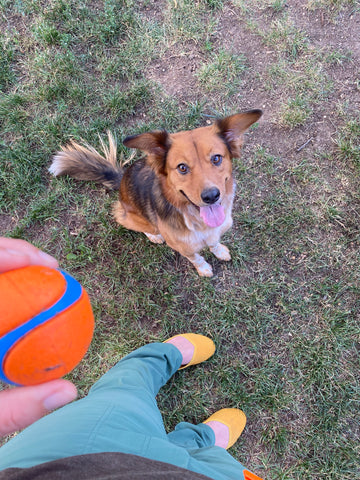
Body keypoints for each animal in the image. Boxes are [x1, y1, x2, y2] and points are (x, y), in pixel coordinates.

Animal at [49, 110, 262, 276]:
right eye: (182, 167)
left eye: (216, 158)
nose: (211, 196)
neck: (197, 220)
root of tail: (121, 178)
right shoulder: (183, 248)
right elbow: (196, 258)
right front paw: (204, 269)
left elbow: (214, 243)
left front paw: (219, 251)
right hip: (129, 216)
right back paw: (154, 236)